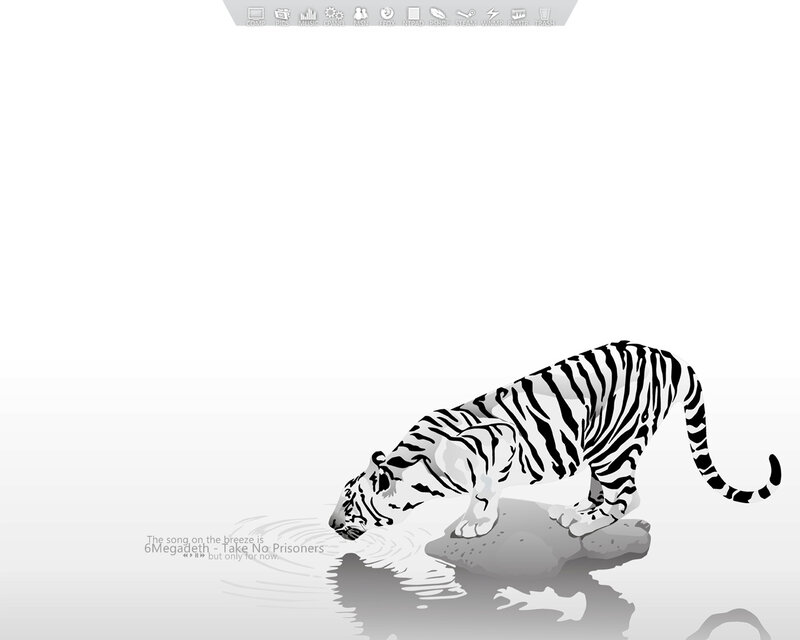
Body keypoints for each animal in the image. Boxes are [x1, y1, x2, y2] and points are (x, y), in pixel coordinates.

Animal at [329, 341, 782, 540]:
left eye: (349, 503)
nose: (330, 524)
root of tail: (666, 354)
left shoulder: (500, 441)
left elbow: (485, 492)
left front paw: (476, 523)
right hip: (601, 444)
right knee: (607, 489)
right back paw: (577, 508)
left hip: (615, 445)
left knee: (628, 496)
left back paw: (585, 523)